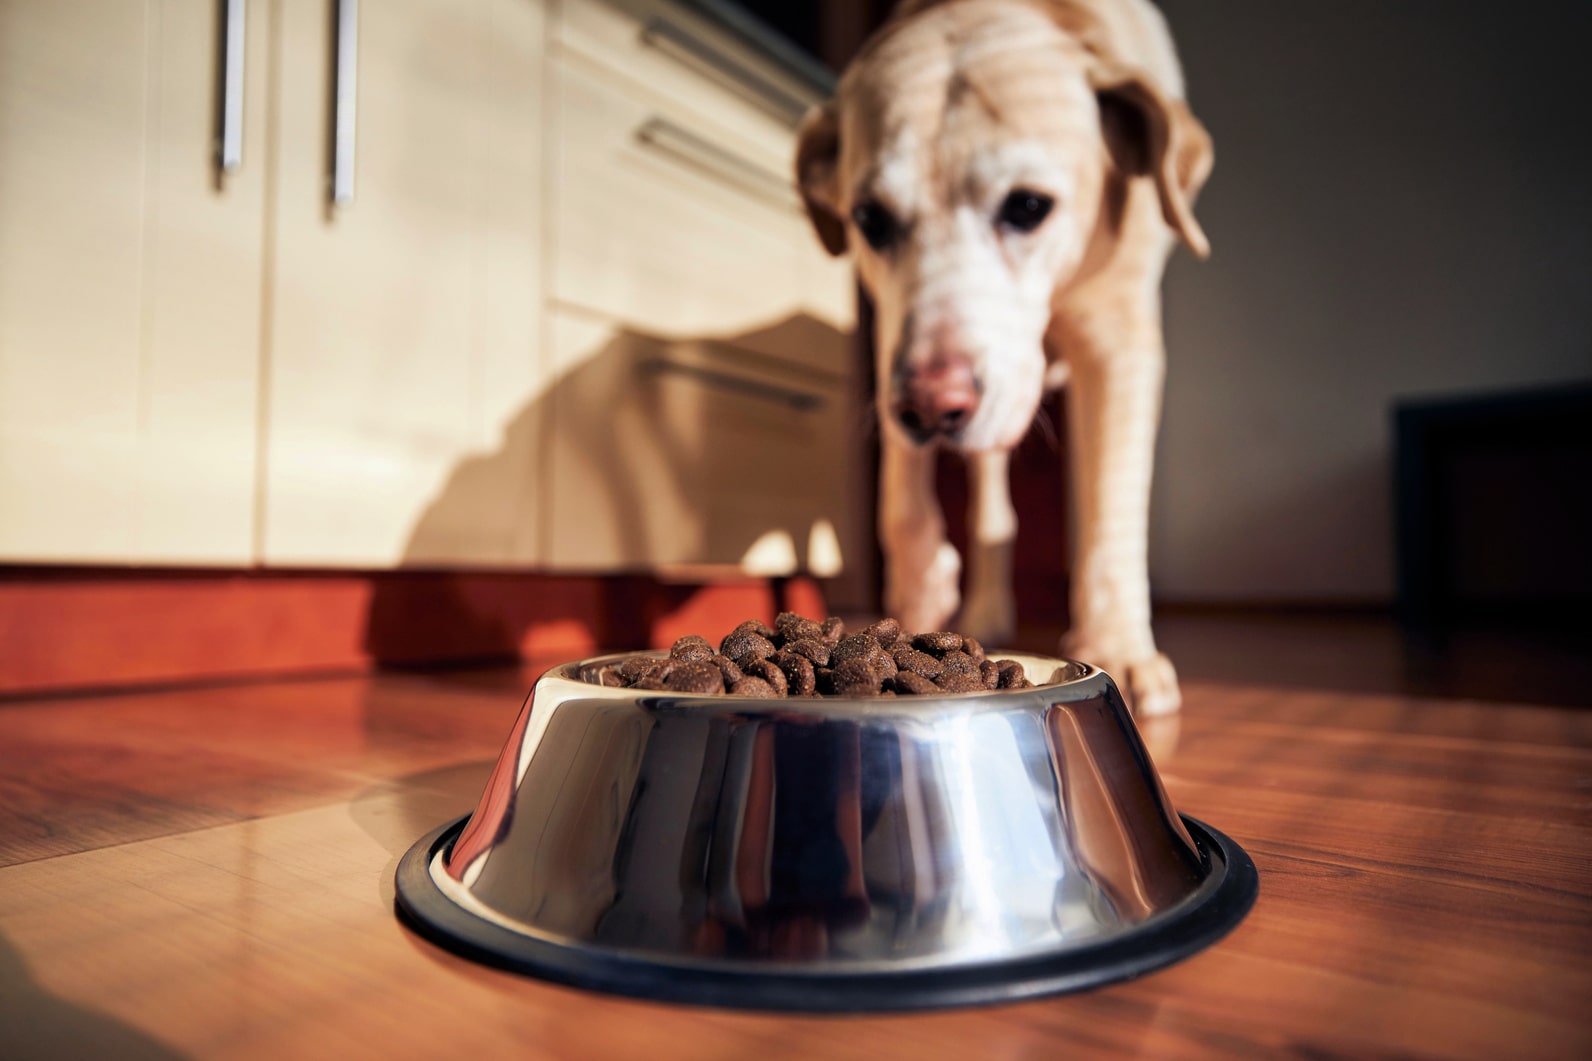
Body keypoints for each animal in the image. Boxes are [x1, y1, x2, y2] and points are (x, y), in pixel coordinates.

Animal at [789, 0, 1209, 713]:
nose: (933, 408)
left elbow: (1112, 509)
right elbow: (902, 501)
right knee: (990, 508)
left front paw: (1121, 650)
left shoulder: (1121, 339)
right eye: (869, 219)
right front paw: (922, 591)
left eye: (1029, 206)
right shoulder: (894, 338)